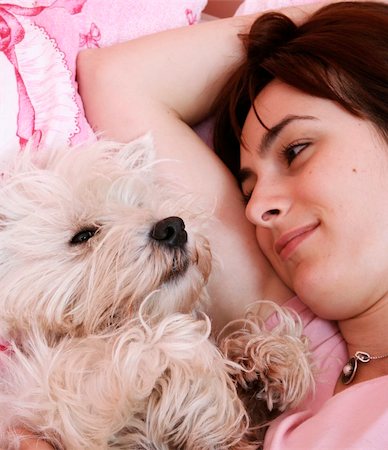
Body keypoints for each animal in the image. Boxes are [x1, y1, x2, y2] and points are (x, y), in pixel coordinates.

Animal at [0, 135, 314, 448]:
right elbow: (156, 344)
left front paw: (270, 356)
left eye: (140, 204)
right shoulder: (58, 406)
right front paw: (214, 397)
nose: (173, 227)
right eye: (83, 235)